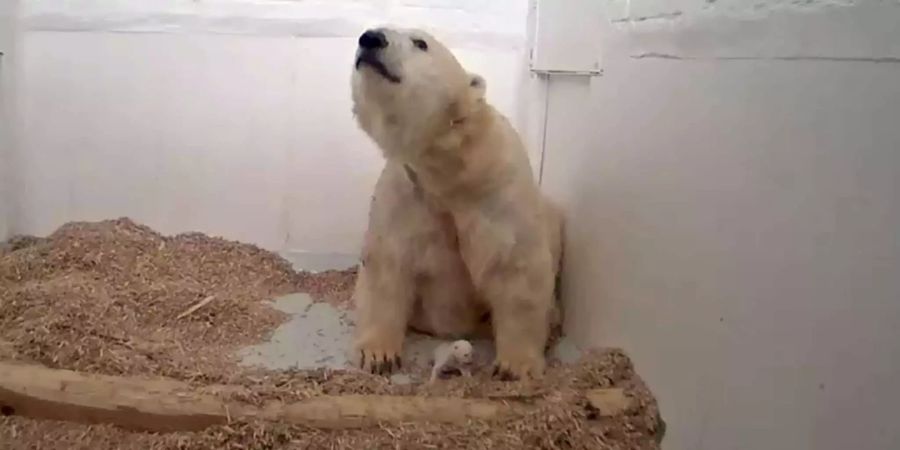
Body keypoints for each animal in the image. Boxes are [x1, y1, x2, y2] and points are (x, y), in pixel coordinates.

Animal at [352, 27, 564, 380]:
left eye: (420, 42)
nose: (370, 38)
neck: (449, 174)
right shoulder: (408, 192)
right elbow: (387, 264)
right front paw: (379, 354)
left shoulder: (497, 190)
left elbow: (518, 268)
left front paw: (515, 365)